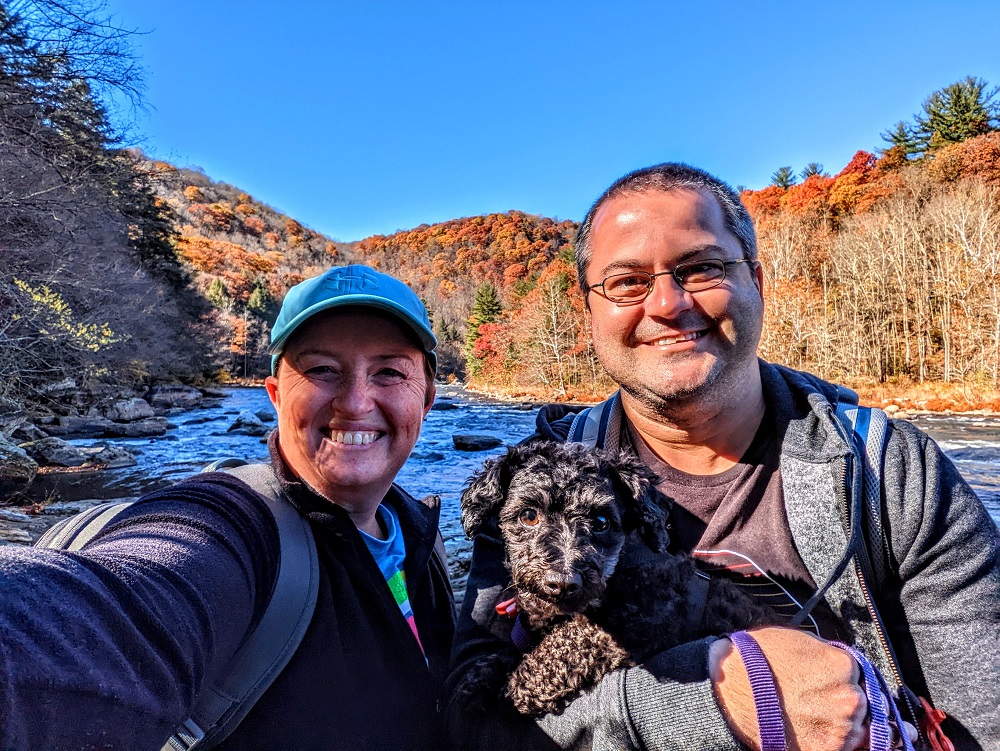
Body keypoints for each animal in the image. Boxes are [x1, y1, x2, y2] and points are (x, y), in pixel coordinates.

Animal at [458, 440, 776, 716]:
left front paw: (522, 683)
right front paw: (484, 674)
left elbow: (575, 636)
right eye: (528, 516)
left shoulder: (647, 618)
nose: (563, 582)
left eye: (601, 522)